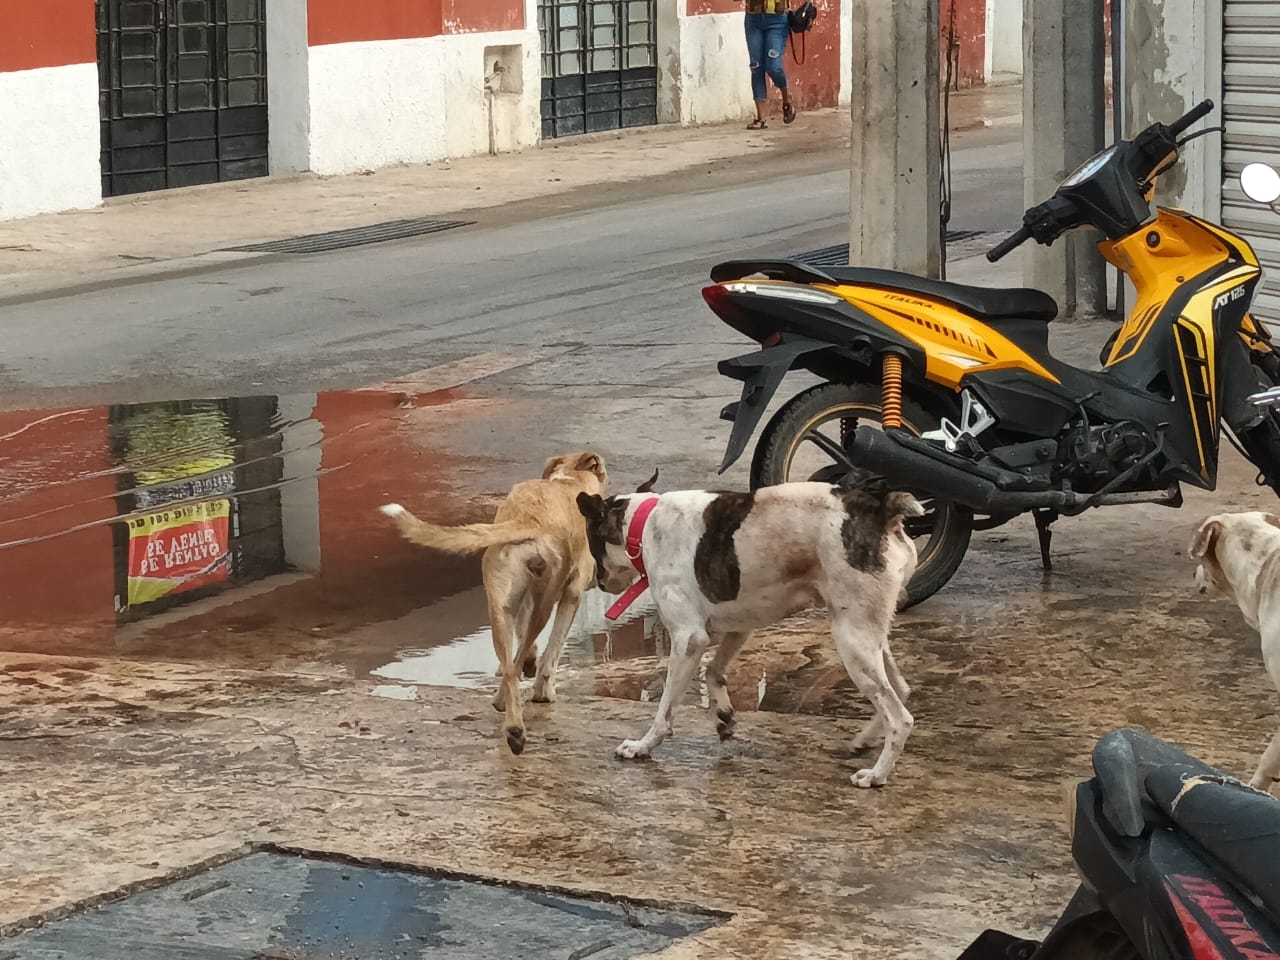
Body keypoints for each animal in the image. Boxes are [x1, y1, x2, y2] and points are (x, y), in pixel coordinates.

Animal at [378, 455, 609, 757]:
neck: (568, 482)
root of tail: (527, 518)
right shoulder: (572, 593)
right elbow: (553, 650)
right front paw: (544, 690)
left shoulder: (525, 600)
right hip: (544, 603)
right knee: (519, 656)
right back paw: (515, 723)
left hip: (500, 608)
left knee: (510, 665)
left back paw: (511, 724)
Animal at [578, 478, 921, 788]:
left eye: (591, 540)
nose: (600, 584)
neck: (643, 524)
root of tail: (881, 510)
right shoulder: (738, 628)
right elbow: (714, 671)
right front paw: (724, 717)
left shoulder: (689, 640)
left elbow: (664, 711)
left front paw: (643, 745)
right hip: (869, 636)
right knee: (900, 689)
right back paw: (865, 739)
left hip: (852, 641)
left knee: (900, 717)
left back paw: (876, 775)